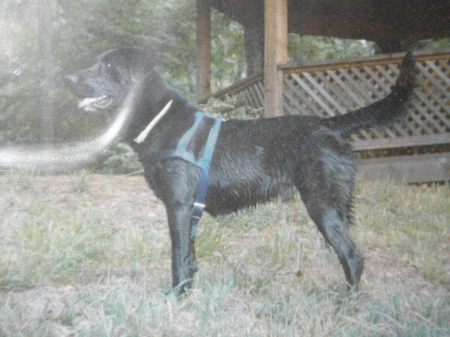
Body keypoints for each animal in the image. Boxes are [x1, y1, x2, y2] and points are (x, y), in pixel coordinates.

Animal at [65, 47, 416, 294]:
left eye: (108, 67)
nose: (68, 79)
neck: (159, 119)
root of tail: (327, 124)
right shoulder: (190, 210)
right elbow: (189, 256)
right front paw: (189, 292)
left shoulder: (178, 206)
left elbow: (176, 255)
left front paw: (175, 297)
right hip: (338, 206)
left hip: (322, 204)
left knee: (353, 256)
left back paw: (346, 304)